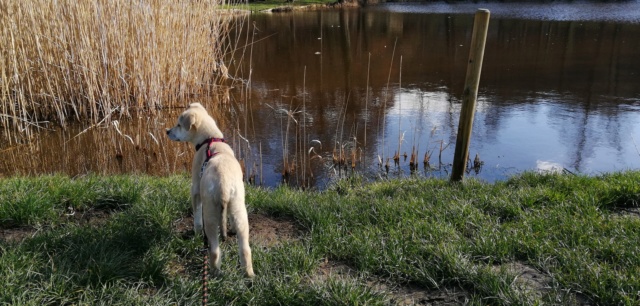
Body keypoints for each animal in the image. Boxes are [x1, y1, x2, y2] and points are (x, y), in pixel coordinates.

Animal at [166, 103, 254, 278]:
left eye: (179, 125)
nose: (167, 131)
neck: (210, 140)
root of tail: (224, 186)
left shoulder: (195, 188)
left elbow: (196, 216)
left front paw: (196, 232)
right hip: (239, 209)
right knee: (245, 249)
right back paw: (249, 275)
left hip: (211, 215)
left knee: (214, 251)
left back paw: (215, 273)